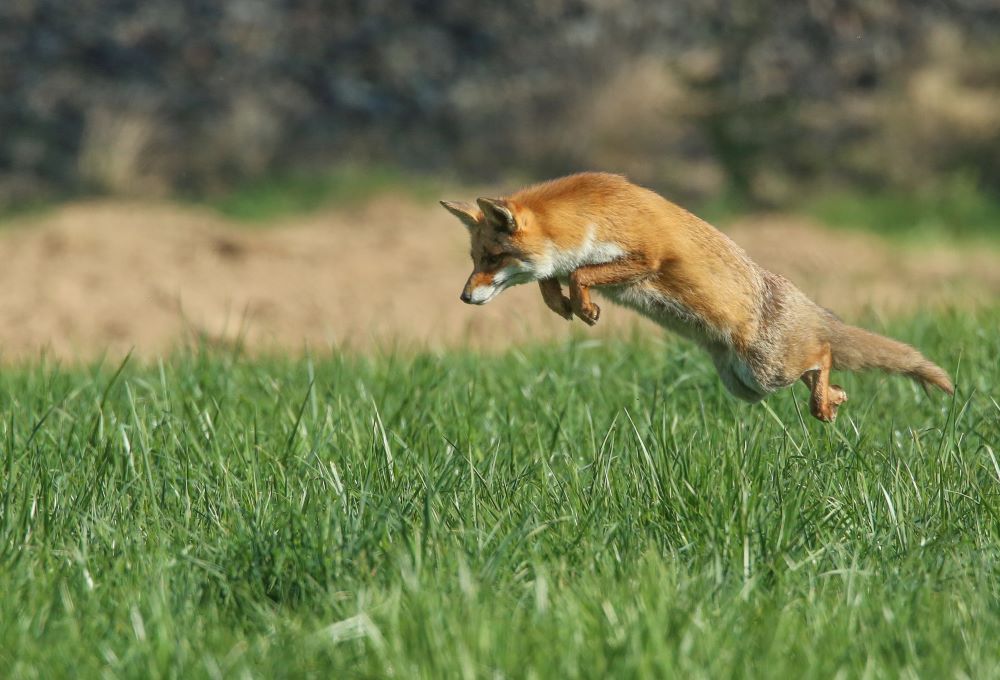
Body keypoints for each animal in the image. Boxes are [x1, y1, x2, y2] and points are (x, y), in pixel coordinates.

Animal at [441, 172, 954, 422]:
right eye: (475, 258)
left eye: (492, 258)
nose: (464, 298)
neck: (591, 217)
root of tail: (806, 305)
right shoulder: (572, 261)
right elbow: (558, 276)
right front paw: (563, 304)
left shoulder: (648, 255)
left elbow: (583, 273)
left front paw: (582, 304)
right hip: (745, 386)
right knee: (821, 370)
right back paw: (834, 398)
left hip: (766, 372)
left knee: (823, 353)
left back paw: (825, 400)